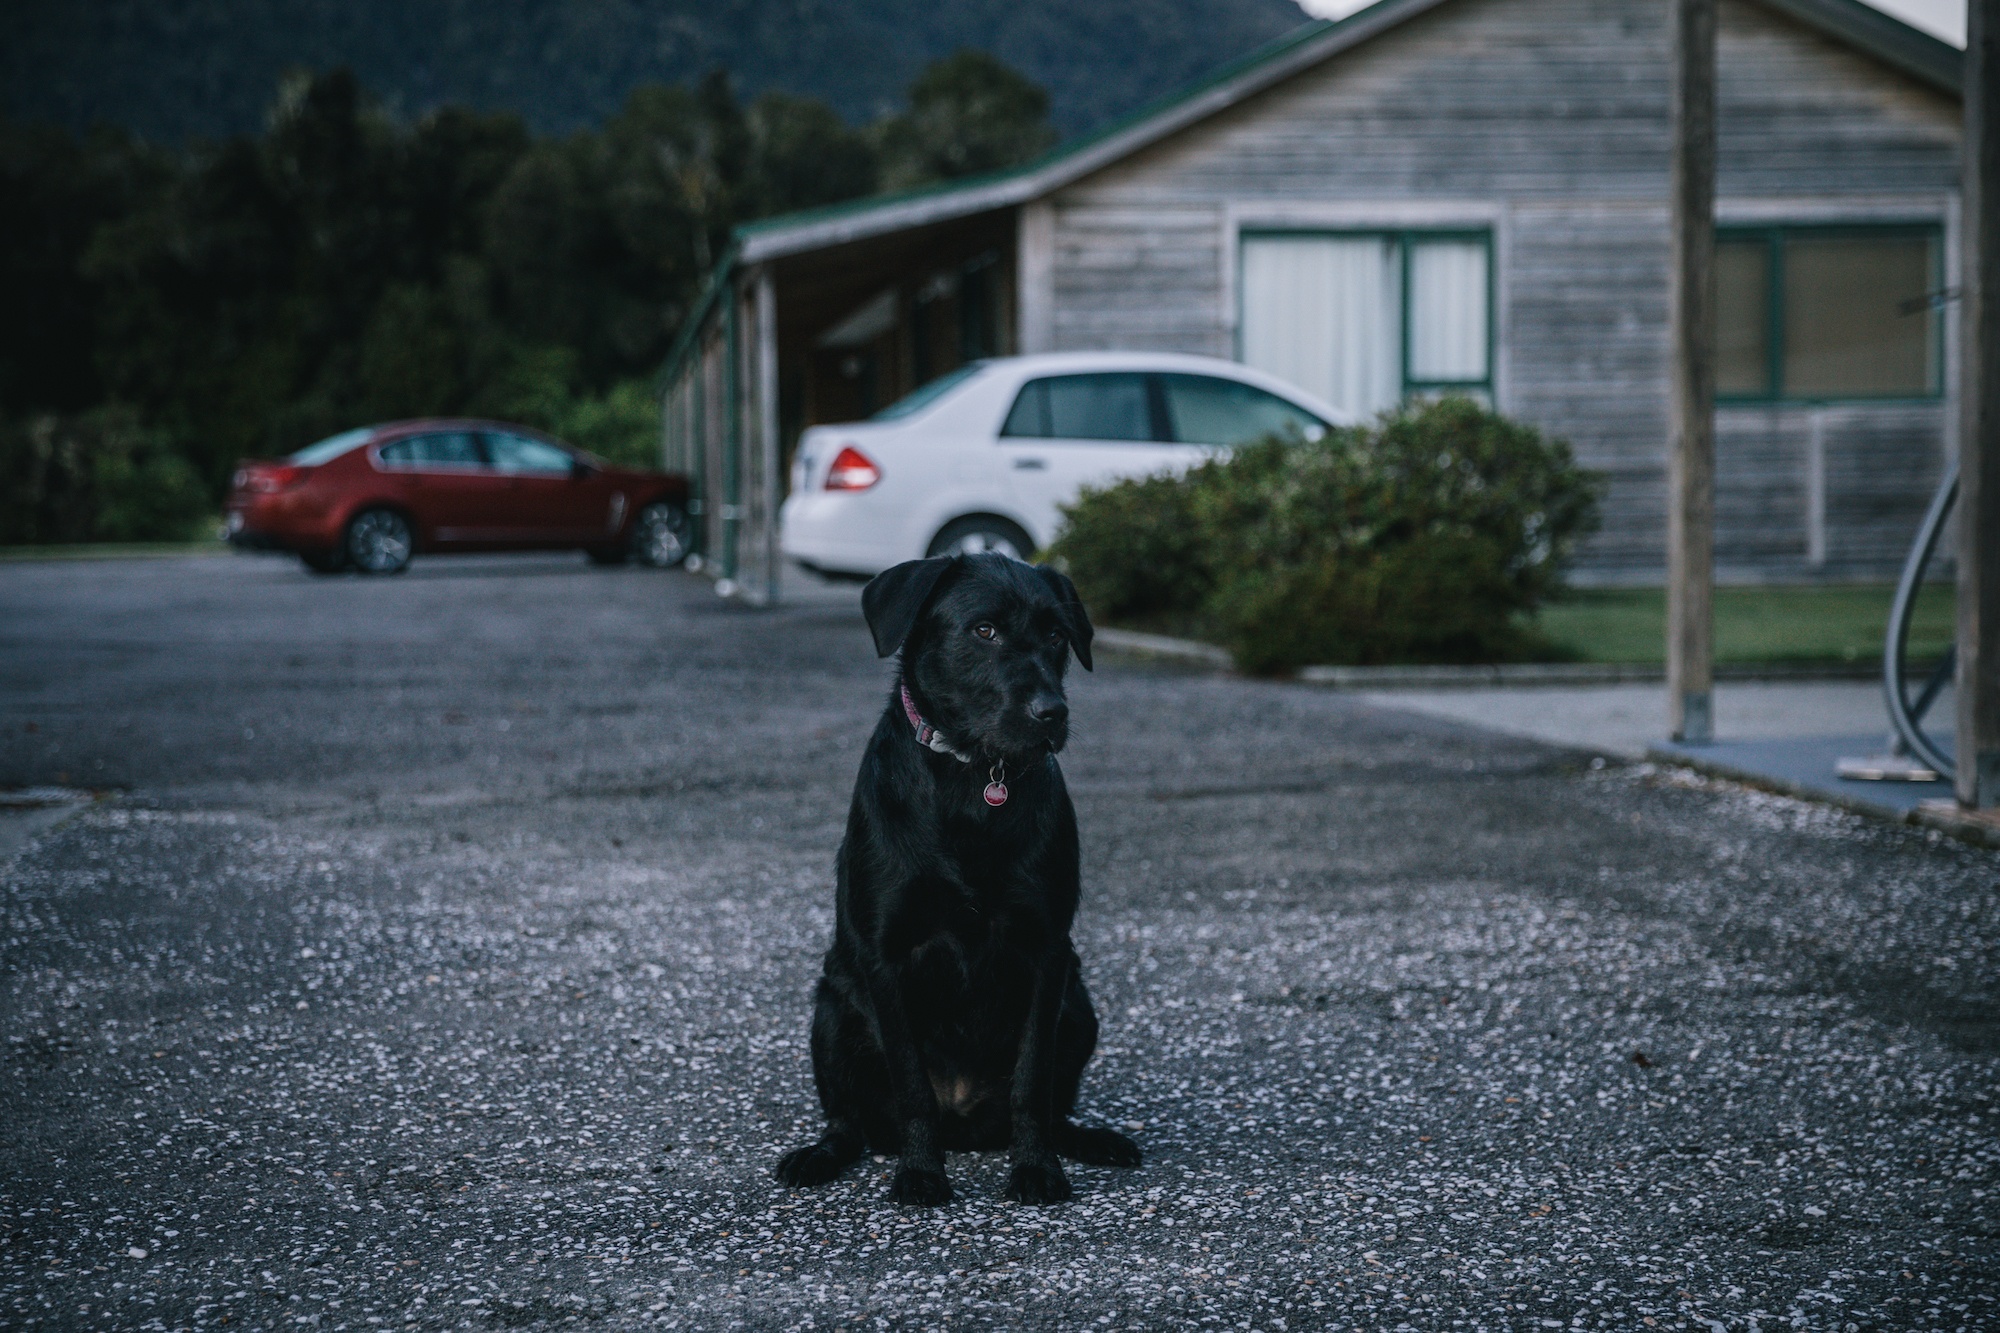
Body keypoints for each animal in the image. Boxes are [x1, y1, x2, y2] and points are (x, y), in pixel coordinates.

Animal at [768, 548, 1144, 1200]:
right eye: (984, 630)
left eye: (1056, 635)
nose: (1052, 713)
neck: (975, 780)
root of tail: (965, 1121)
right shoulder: (886, 956)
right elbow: (912, 1086)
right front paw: (921, 1173)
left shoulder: (1046, 952)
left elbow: (1032, 1081)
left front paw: (1037, 1168)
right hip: (832, 1013)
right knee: (849, 1122)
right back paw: (819, 1155)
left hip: (1079, 1008)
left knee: (1054, 1105)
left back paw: (1088, 1139)